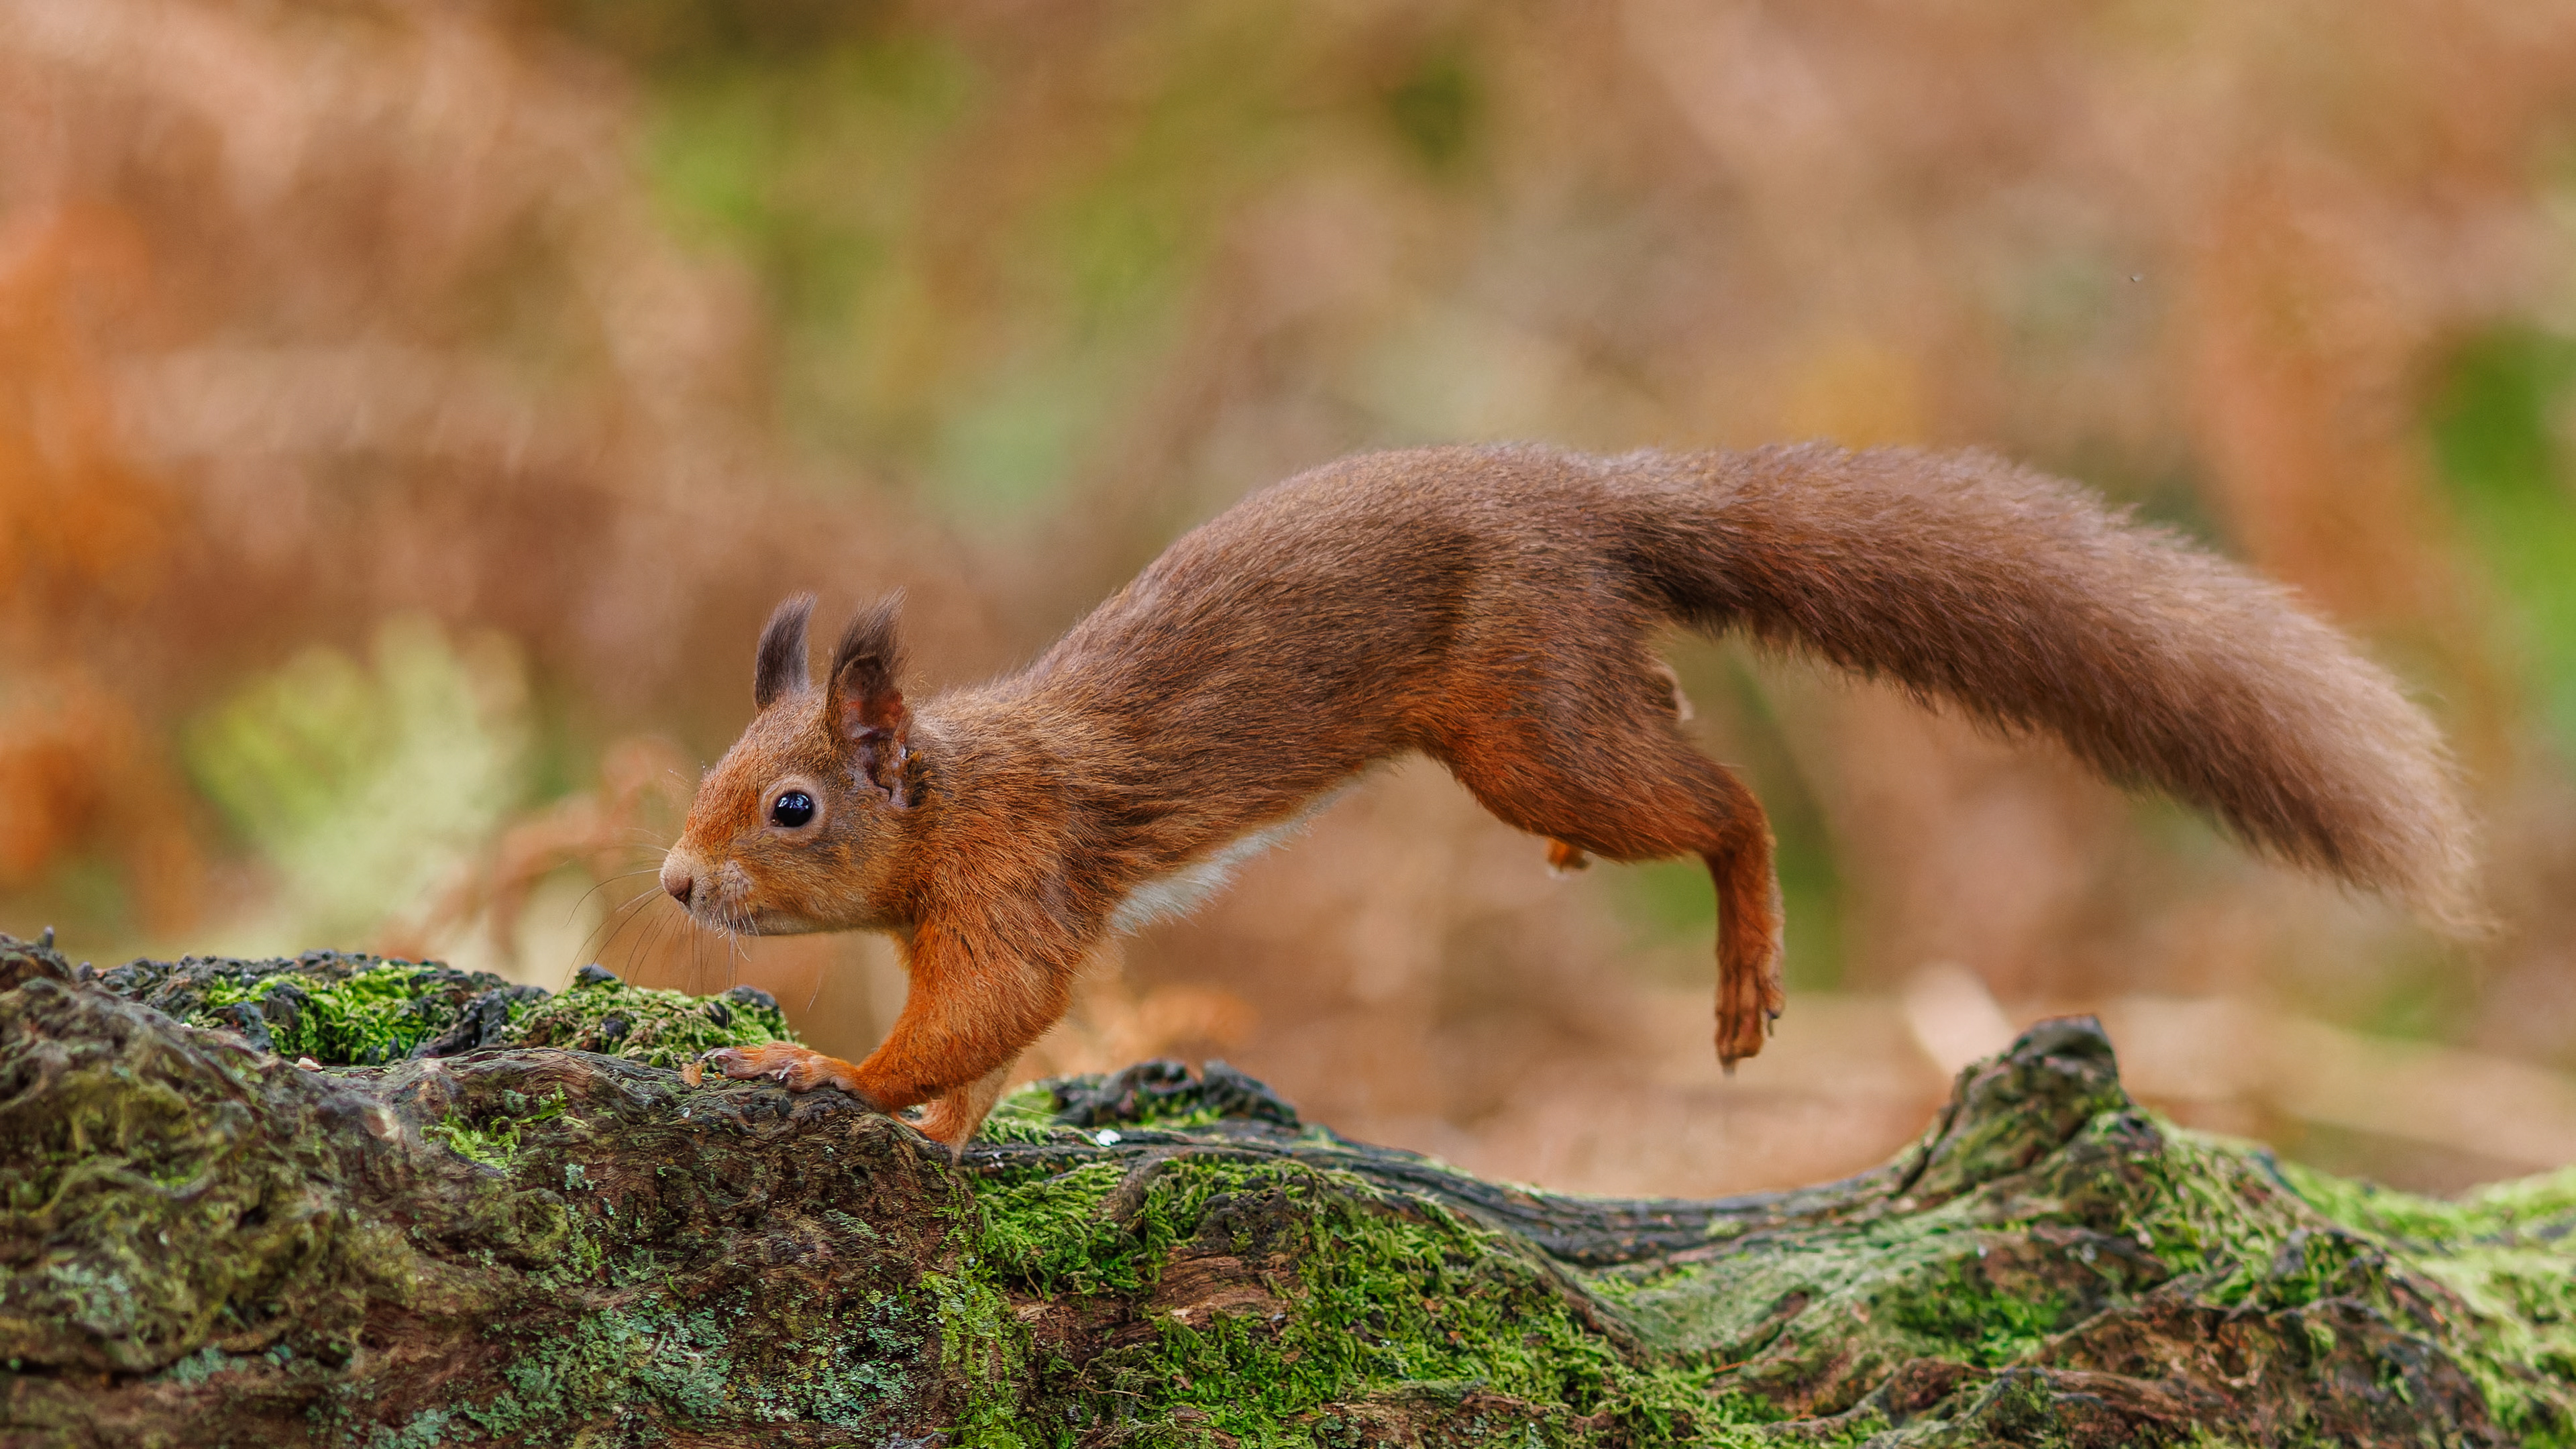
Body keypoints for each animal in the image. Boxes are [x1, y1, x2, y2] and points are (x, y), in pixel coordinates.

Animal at [662, 444, 2478, 1151]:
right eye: (710, 777)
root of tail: (1599, 496)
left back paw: (1746, 964)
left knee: (1727, 801)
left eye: (793, 808)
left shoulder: (1020, 877)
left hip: (1525, 723)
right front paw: (937, 1129)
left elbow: (988, 1011)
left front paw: (817, 1068)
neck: (953, 783)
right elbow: (982, 1053)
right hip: (1561, 703)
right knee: (1672, 718)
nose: (675, 886)